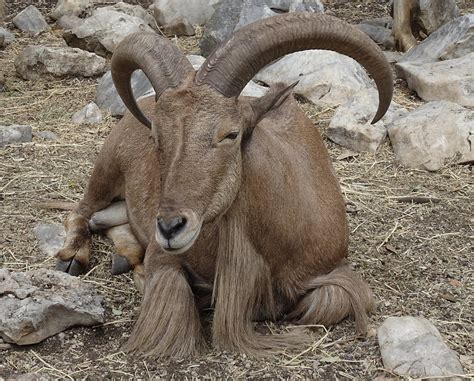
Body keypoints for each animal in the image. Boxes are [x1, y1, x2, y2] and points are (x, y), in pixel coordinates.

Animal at [55, 11, 394, 356]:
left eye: (231, 134)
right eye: (156, 137)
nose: (170, 227)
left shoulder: (335, 267)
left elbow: (327, 301)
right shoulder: (164, 257)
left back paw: (123, 256)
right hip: (107, 168)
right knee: (82, 211)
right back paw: (73, 258)